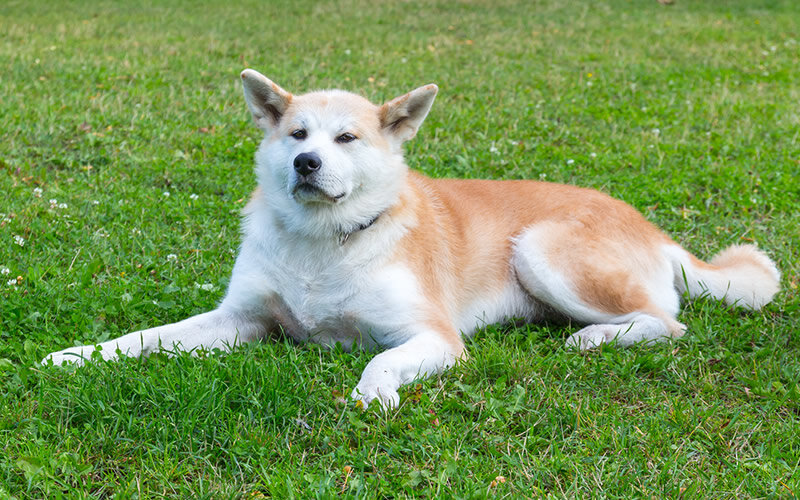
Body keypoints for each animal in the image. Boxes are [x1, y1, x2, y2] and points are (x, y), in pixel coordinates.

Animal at [40, 68, 780, 408]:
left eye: (347, 138)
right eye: (296, 133)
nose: (306, 164)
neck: (324, 243)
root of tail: (652, 227)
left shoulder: (433, 338)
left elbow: (379, 362)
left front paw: (372, 396)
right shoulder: (240, 320)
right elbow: (146, 338)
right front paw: (77, 355)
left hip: (539, 249)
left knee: (666, 322)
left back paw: (595, 337)